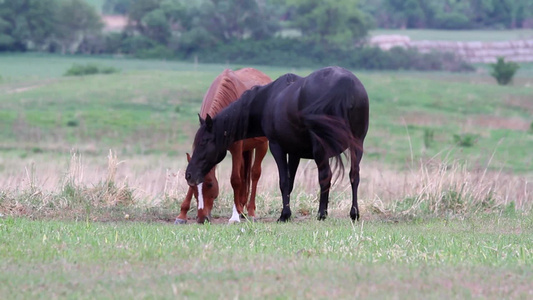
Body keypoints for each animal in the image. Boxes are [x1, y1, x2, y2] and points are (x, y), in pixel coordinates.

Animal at [177, 68, 272, 223]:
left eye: (210, 184)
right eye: (194, 187)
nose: (202, 218)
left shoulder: (236, 147)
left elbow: (235, 180)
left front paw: (234, 217)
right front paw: (181, 215)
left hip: (262, 144)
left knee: (254, 174)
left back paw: (250, 212)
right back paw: (241, 208)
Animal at [186, 67, 366, 221]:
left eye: (203, 142)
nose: (189, 174)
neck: (268, 100)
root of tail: (345, 83)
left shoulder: (276, 148)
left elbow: (283, 181)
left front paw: (284, 215)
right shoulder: (294, 152)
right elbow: (290, 182)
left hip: (321, 151)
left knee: (325, 176)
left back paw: (322, 214)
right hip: (357, 145)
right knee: (354, 175)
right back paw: (354, 213)